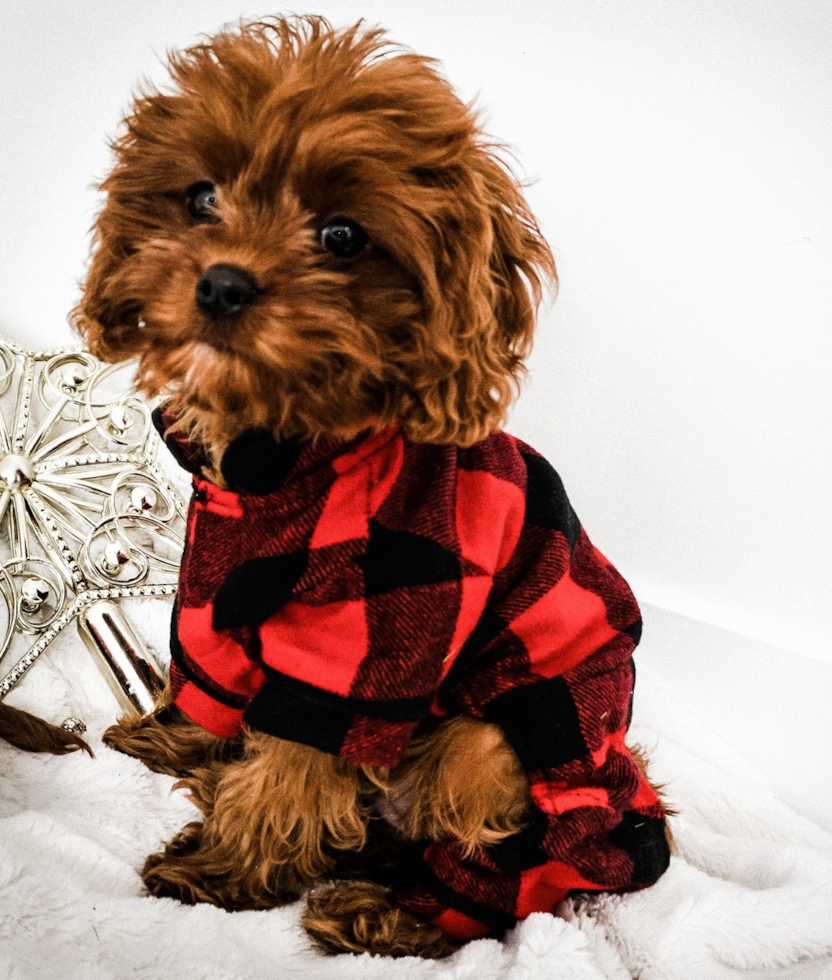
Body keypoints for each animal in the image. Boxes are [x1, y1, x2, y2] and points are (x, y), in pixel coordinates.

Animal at [73, 19, 668, 960]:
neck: (285, 464)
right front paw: (176, 739)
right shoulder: (207, 584)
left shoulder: (360, 650)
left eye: (344, 236)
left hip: (509, 746)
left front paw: (226, 871)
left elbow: (296, 763)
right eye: (200, 198)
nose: (222, 283)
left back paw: (388, 912)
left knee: (514, 873)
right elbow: (206, 677)